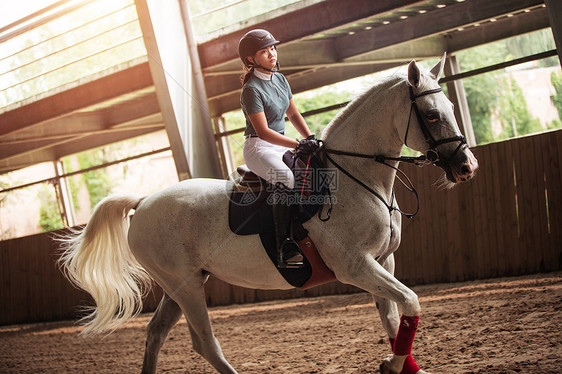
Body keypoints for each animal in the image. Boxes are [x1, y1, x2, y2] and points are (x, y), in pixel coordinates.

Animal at [58, 56, 476, 374]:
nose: (466, 167)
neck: (356, 177)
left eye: (450, 110)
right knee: (204, 343)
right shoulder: (356, 267)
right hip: (185, 286)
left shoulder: (383, 260)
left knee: (156, 333)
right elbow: (411, 303)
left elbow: (394, 318)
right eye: (432, 116)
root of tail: (143, 201)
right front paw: (392, 365)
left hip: (180, 285)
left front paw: (403, 366)